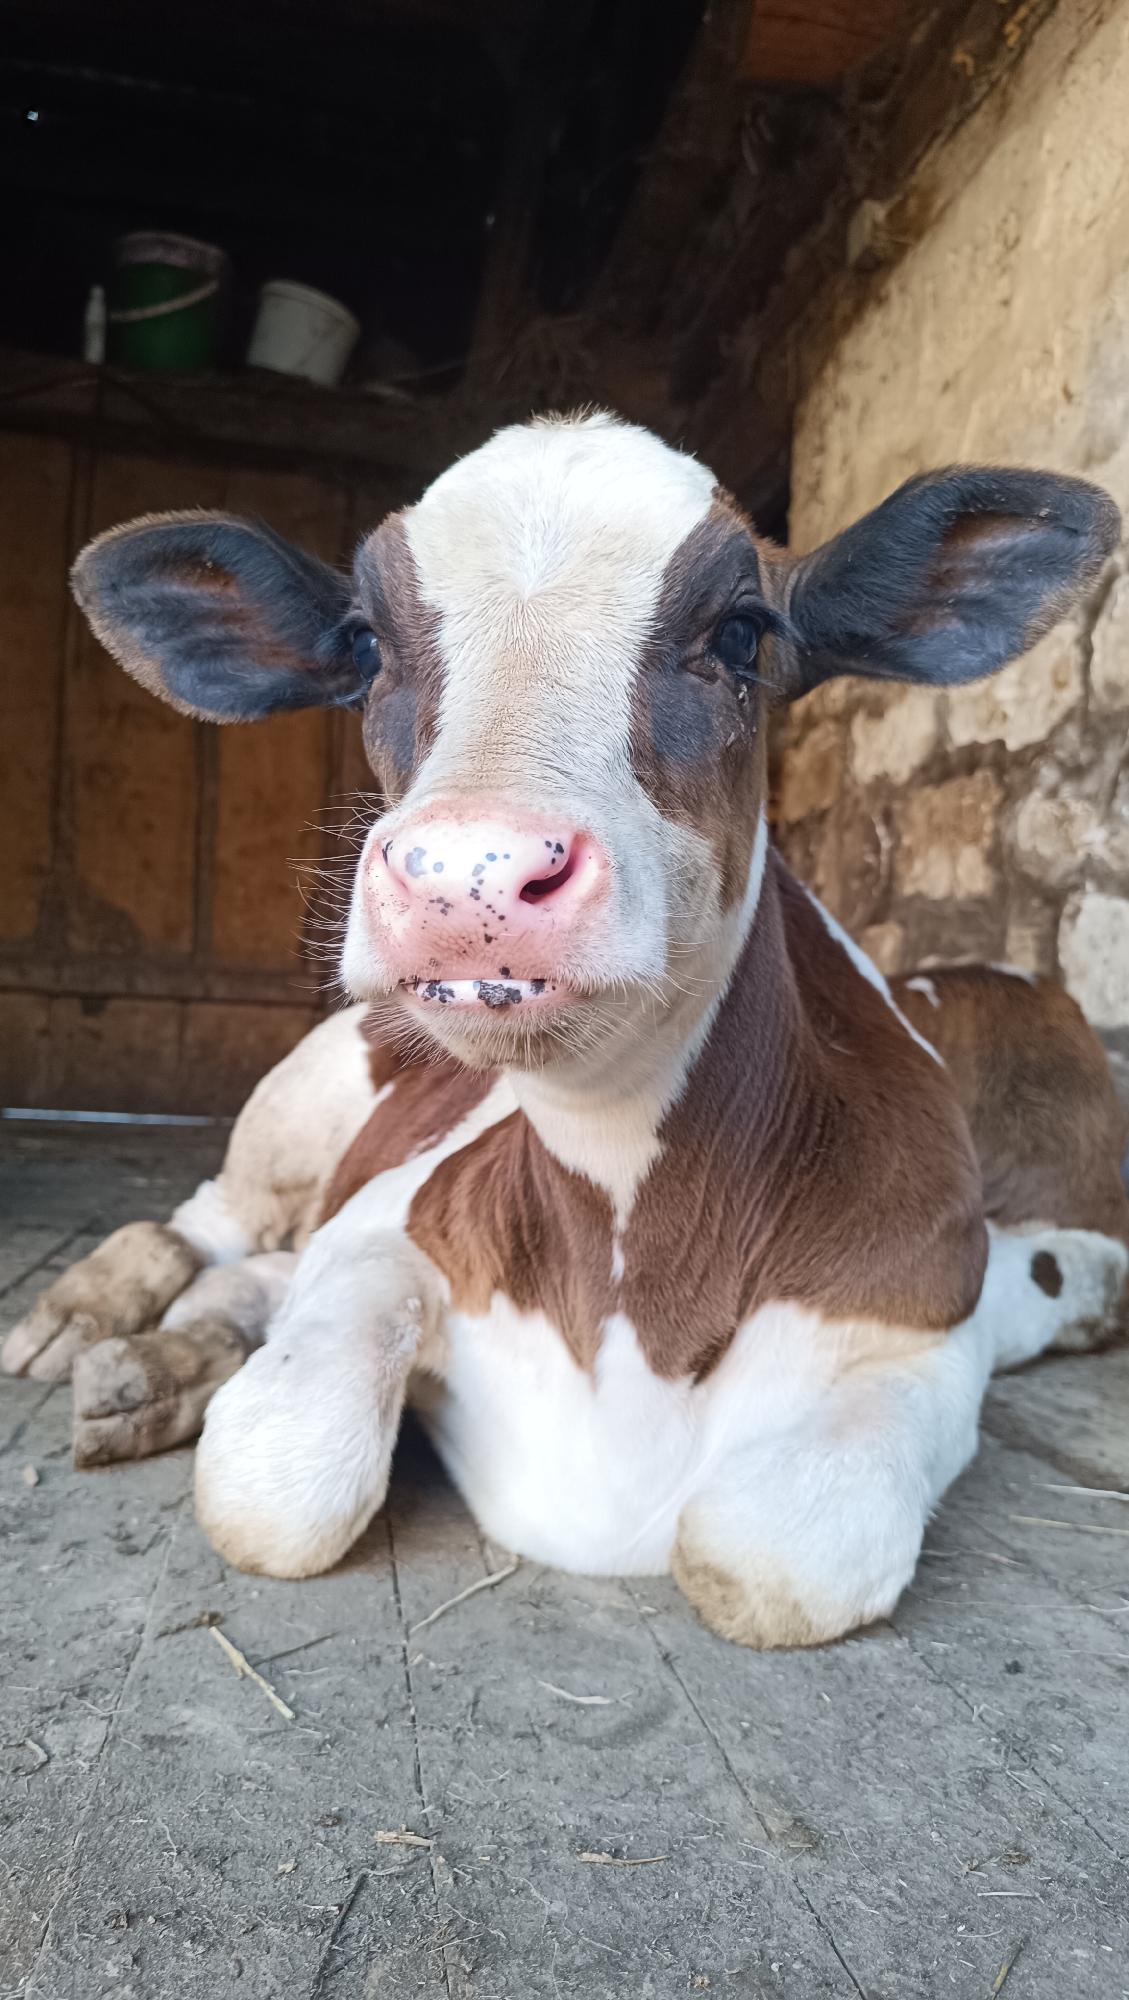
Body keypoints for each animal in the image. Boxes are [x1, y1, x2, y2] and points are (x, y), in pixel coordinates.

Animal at [5, 413, 1128, 1650]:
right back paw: (80, 1319)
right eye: (365, 643)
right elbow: (276, 1481)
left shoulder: (930, 1321)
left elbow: (775, 1554)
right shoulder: (381, 1226)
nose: (468, 871)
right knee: (206, 1223)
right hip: (304, 1093)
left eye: (742, 631)